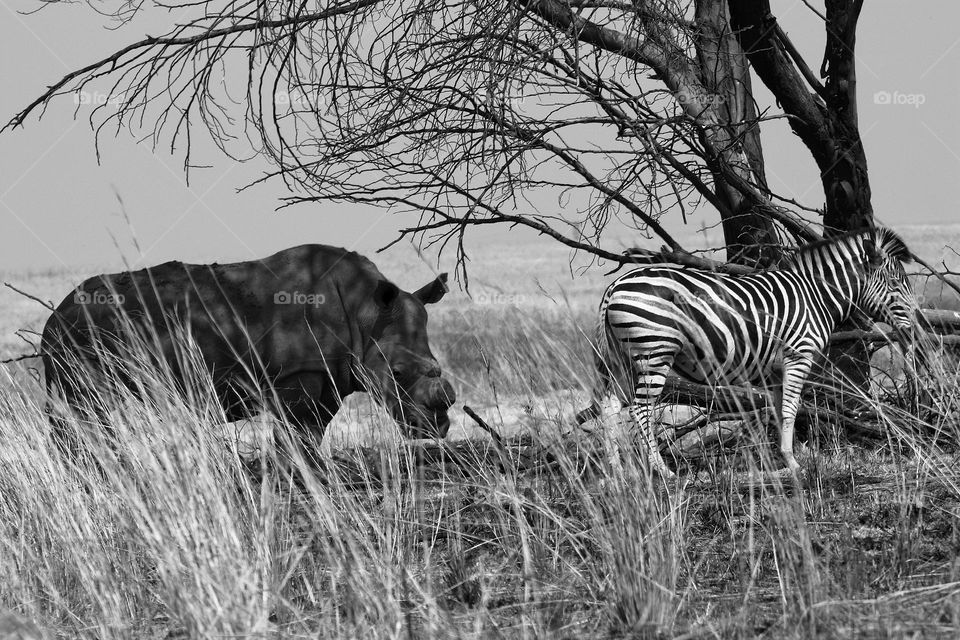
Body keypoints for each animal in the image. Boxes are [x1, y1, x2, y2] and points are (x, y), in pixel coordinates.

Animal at [41, 245, 456, 450]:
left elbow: (311, 435)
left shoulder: (329, 376)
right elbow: (295, 438)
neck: (365, 313)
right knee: (86, 406)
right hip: (78, 340)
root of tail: (54, 315)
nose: (436, 428)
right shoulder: (298, 375)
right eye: (397, 373)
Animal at [578, 227, 917, 478]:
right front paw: (794, 463)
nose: (915, 326)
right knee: (641, 410)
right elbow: (792, 409)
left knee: (609, 407)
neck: (815, 295)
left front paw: (782, 460)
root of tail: (615, 286)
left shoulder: (776, 370)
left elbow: (778, 411)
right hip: (655, 351)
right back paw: (663, 472)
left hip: (622, 359)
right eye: (896, 284)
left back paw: (618, 472)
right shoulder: (798, 356)